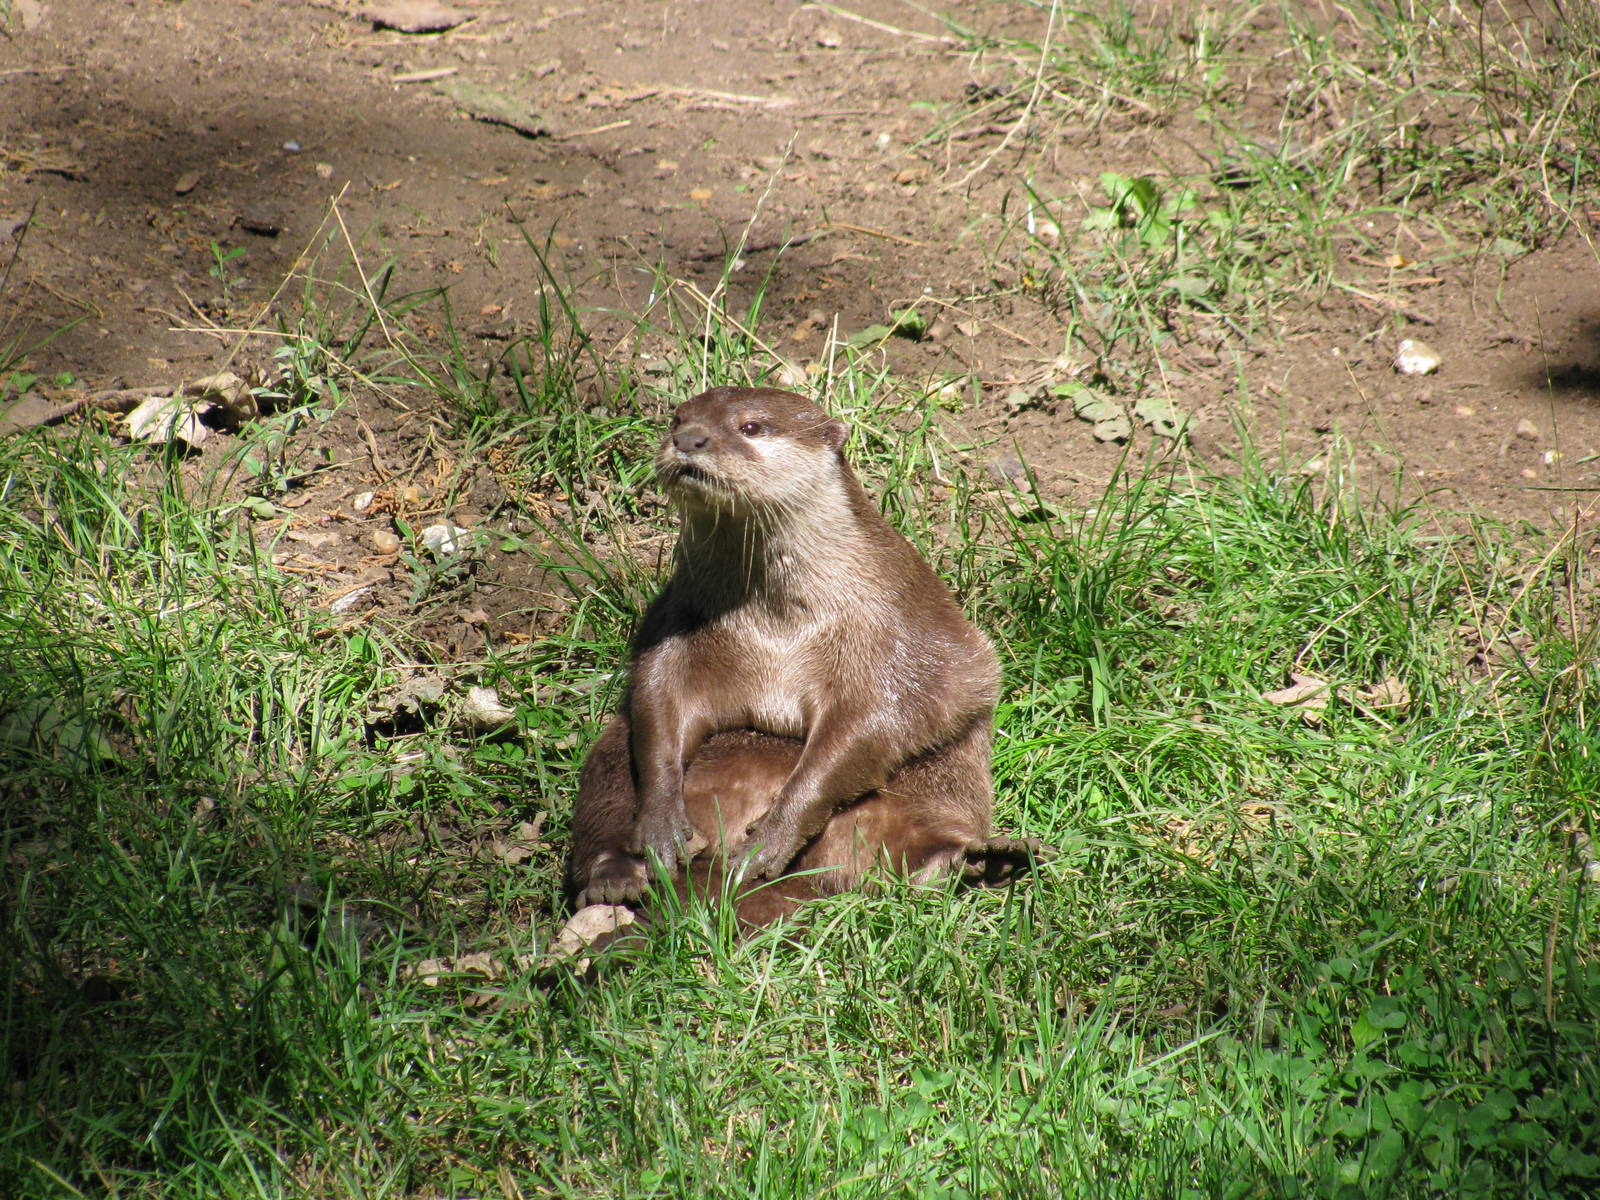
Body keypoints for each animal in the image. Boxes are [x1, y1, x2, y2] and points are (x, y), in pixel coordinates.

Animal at [566, 386, 1041, 925]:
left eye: (751, 427)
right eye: (677, 418)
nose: (689, 439)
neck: (781, 625)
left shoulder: (887, 630)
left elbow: (868, 727)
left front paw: (769, 839)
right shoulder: (680, 620)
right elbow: (659, 701)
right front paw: (663, 822)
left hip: (939, 785)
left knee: (918, 846)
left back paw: (982, 859)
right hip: (610, 757)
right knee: (605, 796)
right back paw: (616, 879)